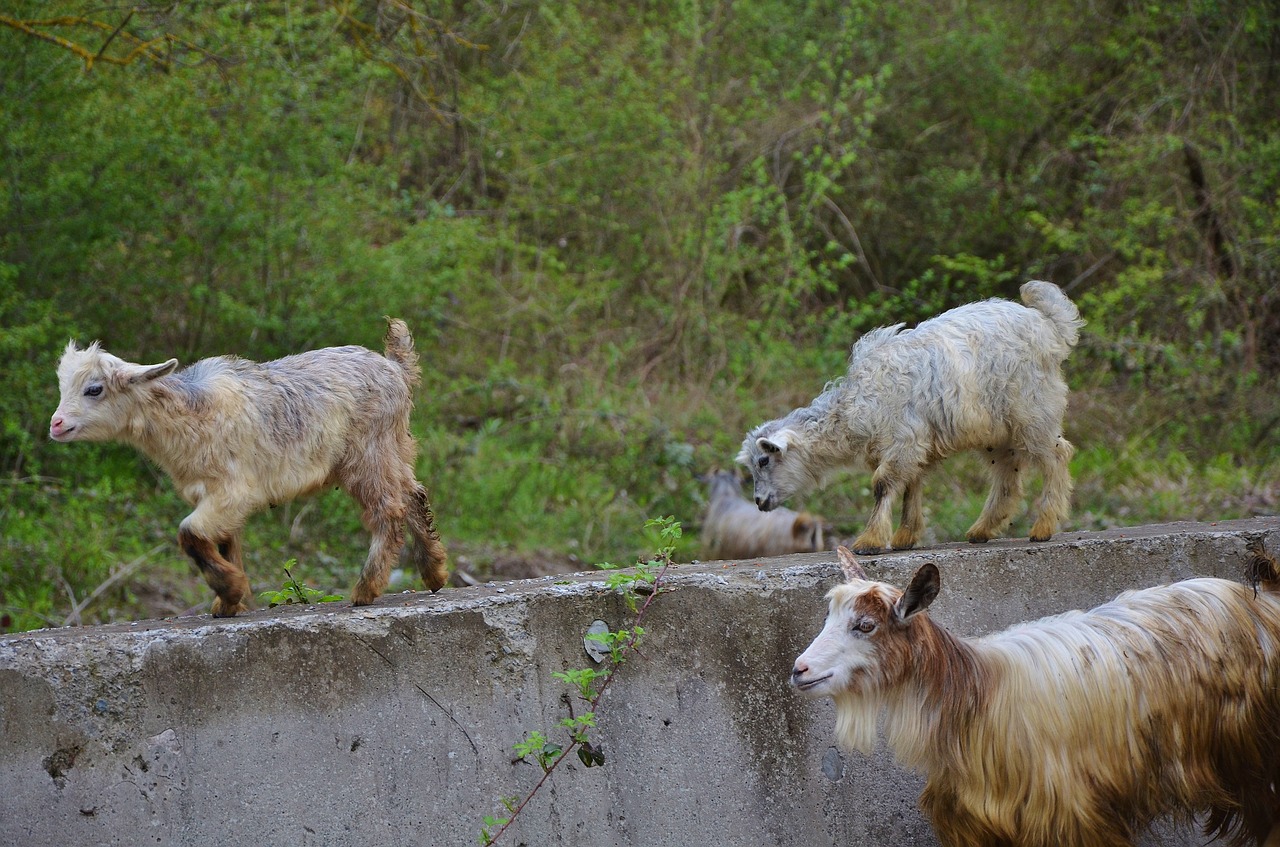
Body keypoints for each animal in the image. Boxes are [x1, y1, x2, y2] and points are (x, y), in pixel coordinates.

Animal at [48, 318, 450, 616]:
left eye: (95, 389)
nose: (56, 424)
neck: (192, 412)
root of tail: (395, 367)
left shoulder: (232, 491)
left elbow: (189, 534)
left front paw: (231, 590)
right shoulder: (214, 495)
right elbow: (226, 542)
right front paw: (229, 603)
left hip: (367, 454)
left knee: (389, 509)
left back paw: (366, 589)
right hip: (395, 448)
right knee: (413, 494)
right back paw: (434, 572)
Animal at [742, 281, 1080, 555]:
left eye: (764, 460)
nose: (758, 502)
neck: (854, 407)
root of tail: (1048, 325)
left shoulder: (903, 439)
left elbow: (883, 485)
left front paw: (870, 541)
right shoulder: (912, 445)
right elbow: (910, 486)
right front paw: (905, 536)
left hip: (1034, 410)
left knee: (1056, 455)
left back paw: (1044, 526)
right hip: (996, 431)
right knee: (1008, 474)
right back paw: (982, 529)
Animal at [793, 547, 1280, 844]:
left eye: (866, 626)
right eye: (829, 617)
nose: (799, 671)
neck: (974, 694)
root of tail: (1264, 599)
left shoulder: (1072, 815)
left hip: (1255, 760)